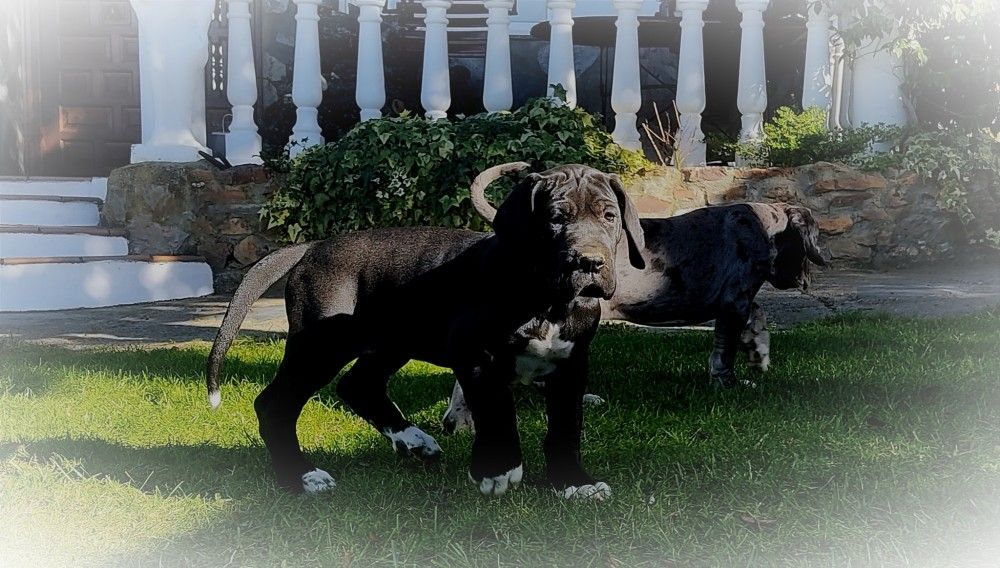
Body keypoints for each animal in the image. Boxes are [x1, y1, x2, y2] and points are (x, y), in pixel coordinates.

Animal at [205, 163, 645, 500]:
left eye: (609, 217)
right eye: (556, 219)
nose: (590, 262)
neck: (547, 302)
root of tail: (312, 247)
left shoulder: (571, 365)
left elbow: (566, 427)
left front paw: (573, 482)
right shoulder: (476, 357)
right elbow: (496, 408)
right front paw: (497, 468)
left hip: (391, 339)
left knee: (358, 385)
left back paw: (413, 440)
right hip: (321, 346)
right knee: (274, 405)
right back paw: (302, 476)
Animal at [442, 175, 827, 433]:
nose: (804, 282)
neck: (764, 226)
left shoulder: (737, 301)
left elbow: (758, 315)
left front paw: (759, 353)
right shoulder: (734, 300)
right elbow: (724, 351)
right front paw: (729, 383)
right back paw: (459, 421)